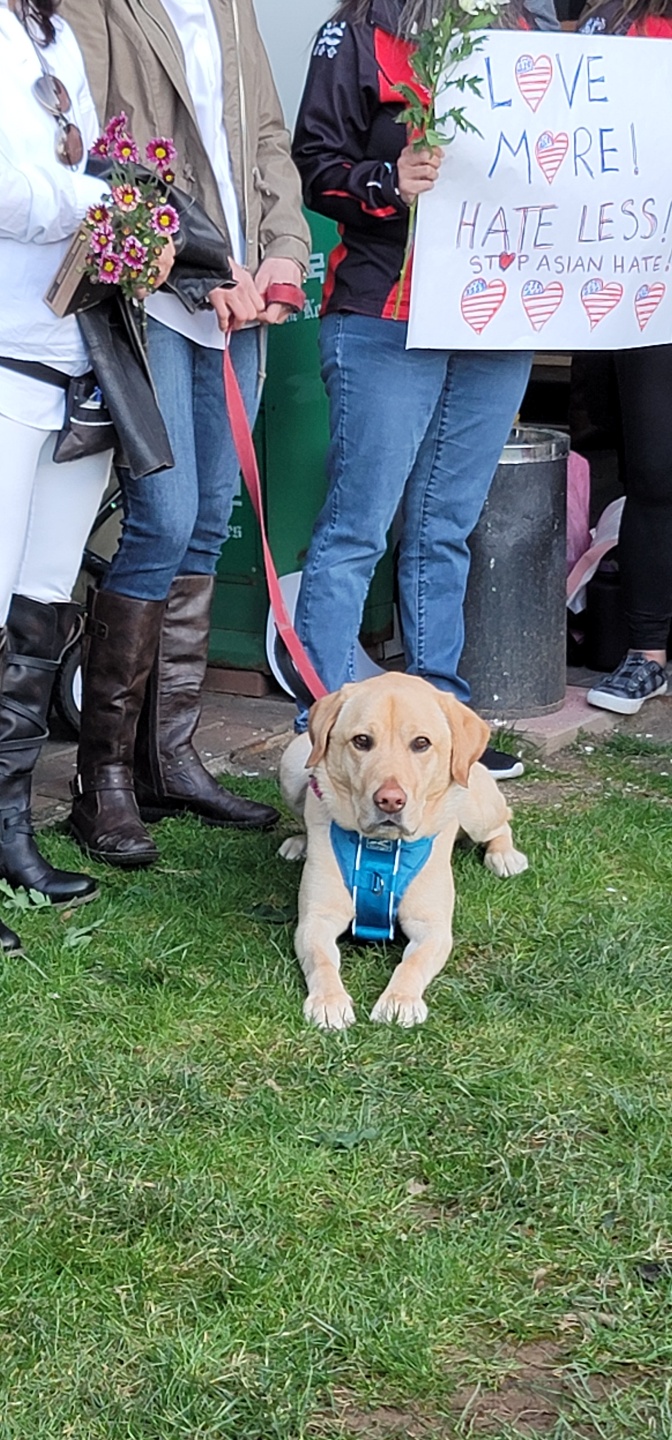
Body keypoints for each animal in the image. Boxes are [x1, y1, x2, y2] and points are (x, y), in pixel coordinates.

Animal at [282, 668, 529, 1031]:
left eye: (421, 743)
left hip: (477, 808)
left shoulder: (433, 928)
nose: (389, 800)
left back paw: (504, 855)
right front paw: (329, 1001)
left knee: (503, 822)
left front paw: (399, 1000)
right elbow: (323, 961)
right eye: (362, 741)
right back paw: (299, 842)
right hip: (293, 763)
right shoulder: (316, 920)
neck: (381, 846)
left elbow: (411, 964)